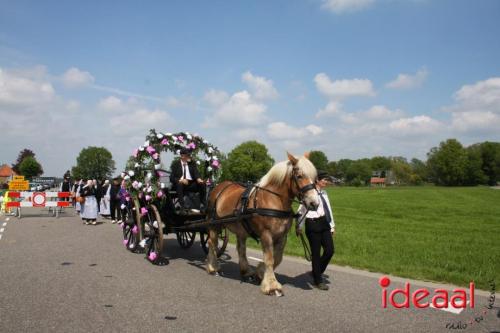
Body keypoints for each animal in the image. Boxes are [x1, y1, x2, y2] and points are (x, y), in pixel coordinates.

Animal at [205, 152, 318, 294]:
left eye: (315, 178)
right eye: (299, 176)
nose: (314, 203)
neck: (274, 200)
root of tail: (218, 186)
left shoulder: (282, 236)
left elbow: (277, 258)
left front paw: (260, 272)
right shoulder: (266, 234)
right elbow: (269, 258)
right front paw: (271, 286)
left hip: (240, 229)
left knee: (241, 249)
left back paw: (246, 271)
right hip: (213, 224)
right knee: (212, 243)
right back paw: (213, 267)